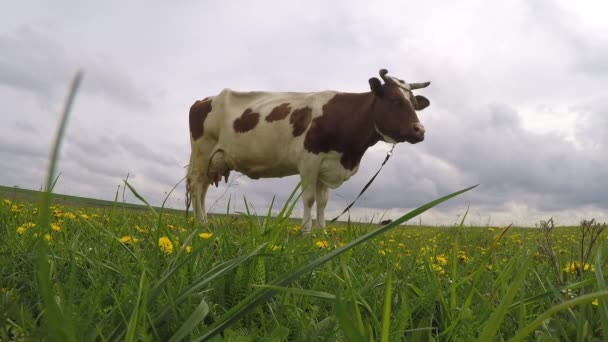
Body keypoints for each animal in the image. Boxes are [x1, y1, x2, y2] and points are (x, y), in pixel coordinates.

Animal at [184, 69, 428, 235]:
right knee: (196, 187)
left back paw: (203, 223)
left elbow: (323, 202)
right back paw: (201, 223)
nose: (420, 130)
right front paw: (305, 232)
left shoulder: (326, 166)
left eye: (415, 104)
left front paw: (322, 233)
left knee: (203, 190)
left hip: (214, 161)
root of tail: (203, 100)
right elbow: (309, 198)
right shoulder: (309, 161)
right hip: (202, 153)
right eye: (395, 100)